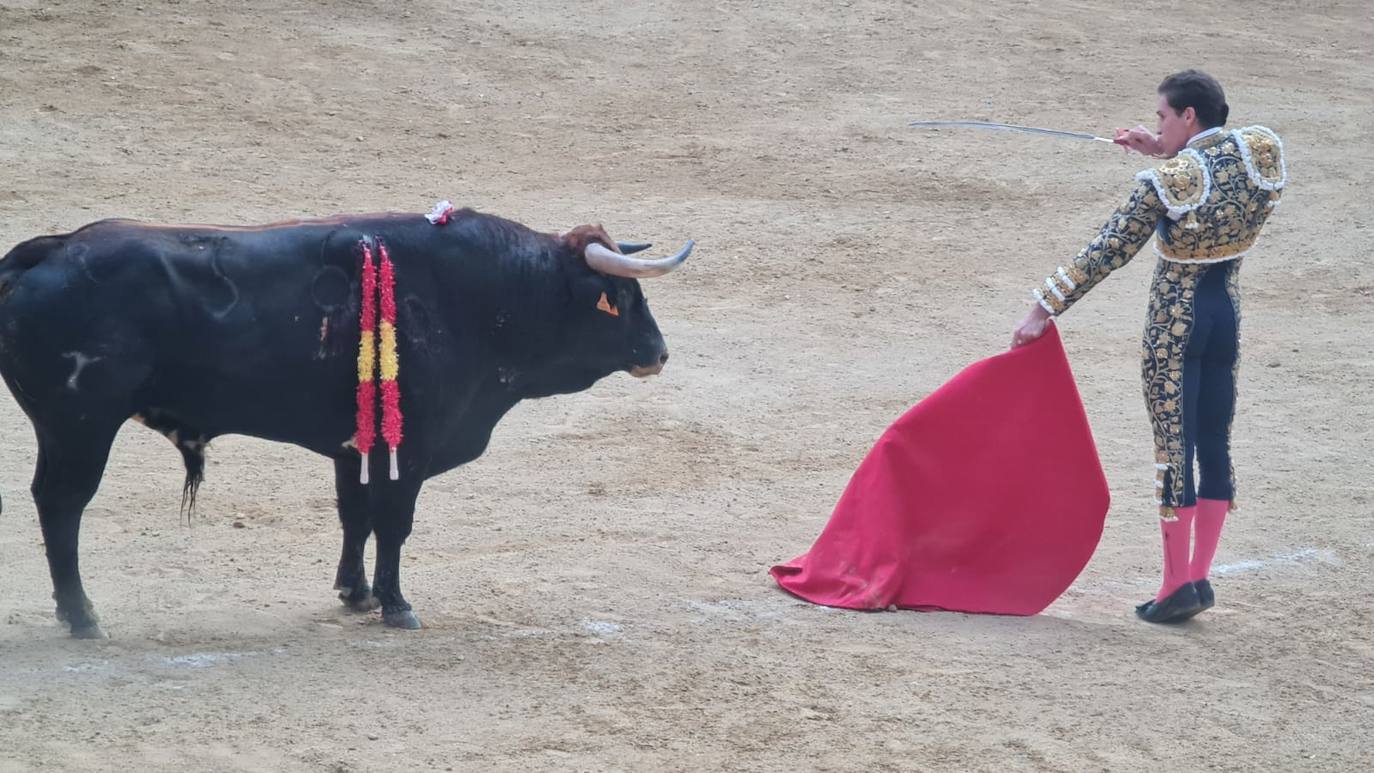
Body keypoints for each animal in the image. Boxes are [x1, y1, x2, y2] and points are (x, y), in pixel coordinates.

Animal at [0, 208, 692, 637]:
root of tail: (49, 251)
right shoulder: (408, 450)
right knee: (63, 506)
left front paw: (355, 594)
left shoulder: (356, 447)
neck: (485, 298)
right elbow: (394, 524)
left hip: (65, 430)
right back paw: (83, 617)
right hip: (81, 426)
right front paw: (396, 605)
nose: (659, 353)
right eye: (621, 298)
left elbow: (355, 516)